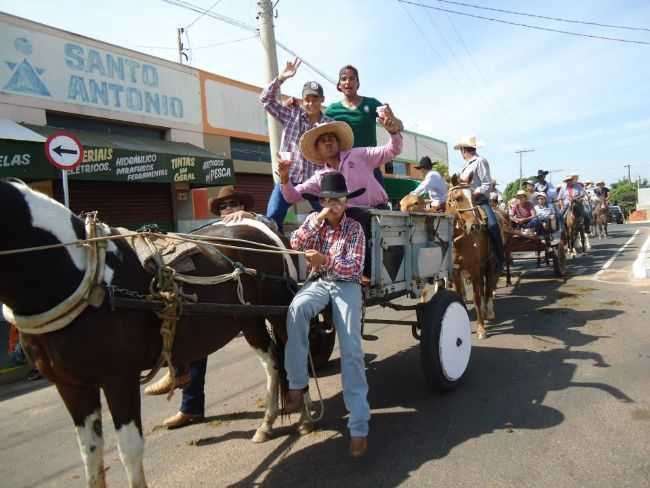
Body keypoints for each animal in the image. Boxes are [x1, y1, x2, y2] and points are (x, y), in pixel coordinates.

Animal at [0, 180, 316, 488]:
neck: (83, 276)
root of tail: (261, 226)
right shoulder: (70, 385)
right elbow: (90, 455)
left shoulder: (119, 378)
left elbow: (129, 450)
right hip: (247, 320)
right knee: (272, 362)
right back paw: (266, 424)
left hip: (279, 310)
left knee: (292, 357)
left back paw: (305, 416)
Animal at [442, 183, 498, 340]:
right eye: (458, 198)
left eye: (473, 198)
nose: (475, 226)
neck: (460, 242)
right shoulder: (456, 271)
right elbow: (460, 295)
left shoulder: (474, 269)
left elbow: (476, 297)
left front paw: (481, 329)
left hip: (490, 263)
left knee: (489, 285)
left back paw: (489, 310)